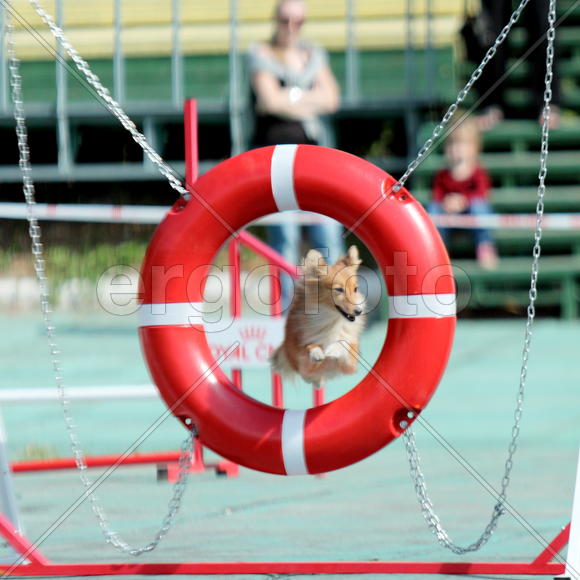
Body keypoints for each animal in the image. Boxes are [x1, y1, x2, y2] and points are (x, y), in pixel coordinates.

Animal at [271, 245, 366, 385]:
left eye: (355, 289)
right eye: (339, 289)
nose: (359, 311)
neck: (332, 319)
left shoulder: (350, 365)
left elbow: (344, 345)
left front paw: (333, 349)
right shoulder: (303, 366)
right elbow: (309, 347)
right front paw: (317, 352)